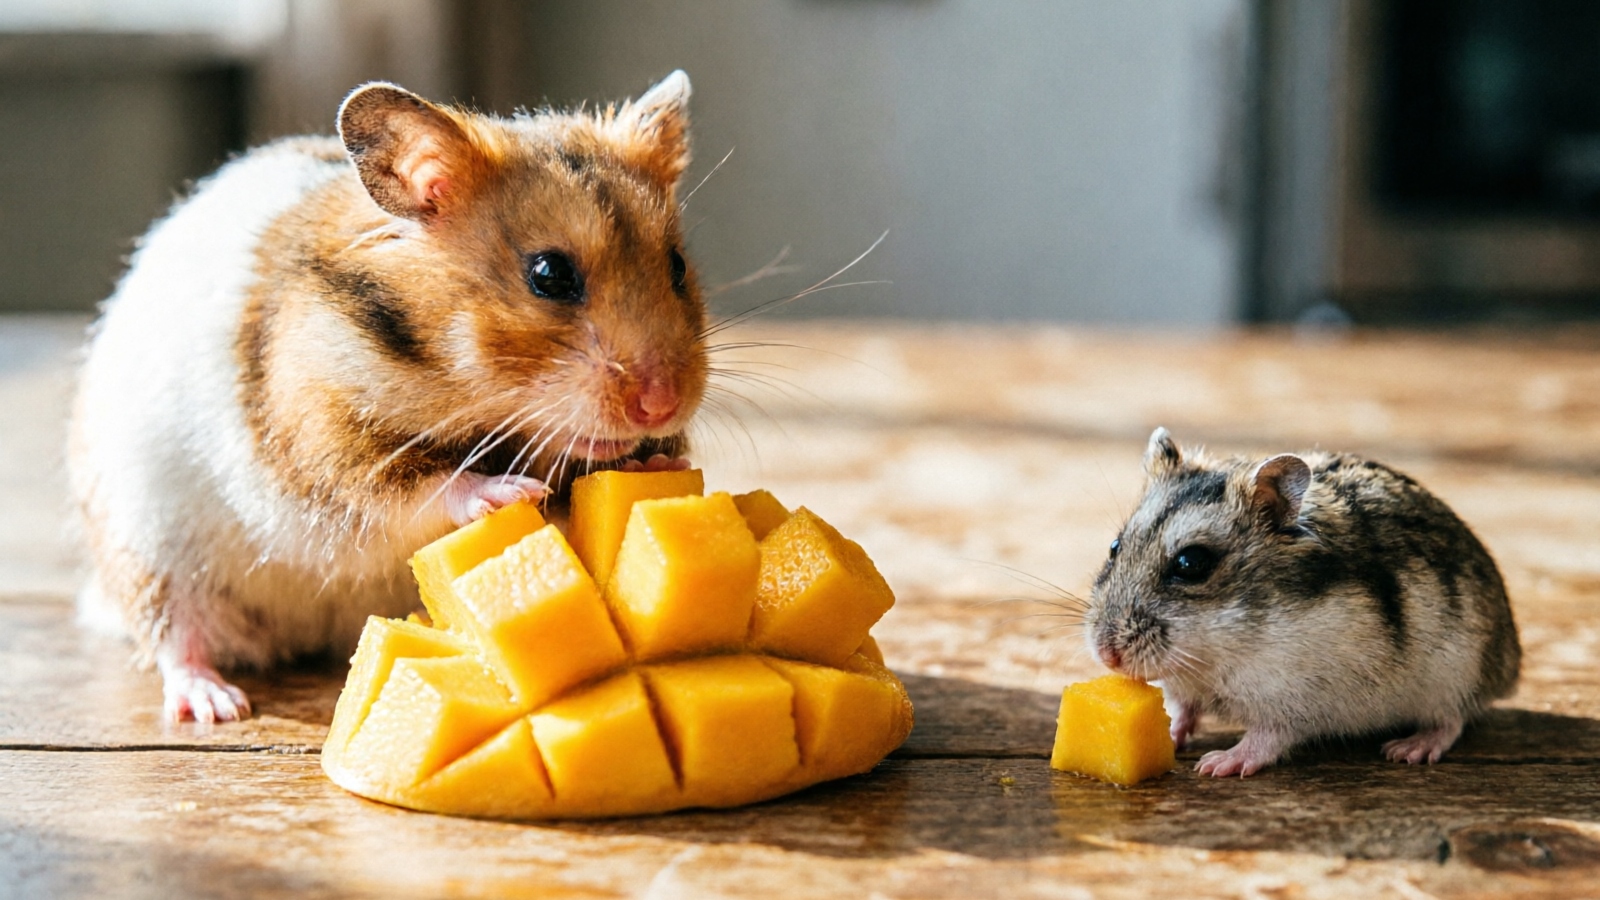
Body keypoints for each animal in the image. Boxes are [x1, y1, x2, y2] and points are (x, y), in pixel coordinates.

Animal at [68, 72, 708, 723]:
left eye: (678, 266)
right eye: (549, 274)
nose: (661, 407)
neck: (456, 384)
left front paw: (659, 462)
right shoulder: (324, 440)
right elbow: (417, 488)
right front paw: (507, 492)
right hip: (148, 547)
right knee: (175, 636)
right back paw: (216, 704)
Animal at [1086, 427, 1520, 777]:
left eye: (1191, 563)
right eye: (1114, 546)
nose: (1108, 655)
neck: (1221, 647)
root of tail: (1511, 662)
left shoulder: (1295, 700)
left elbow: (1268, 737)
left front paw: (1217, 764)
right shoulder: (1187, 688)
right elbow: (1182, 710)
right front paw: (1172, 737)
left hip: (1457, 673)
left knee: (1452, 719)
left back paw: (1408, 749)